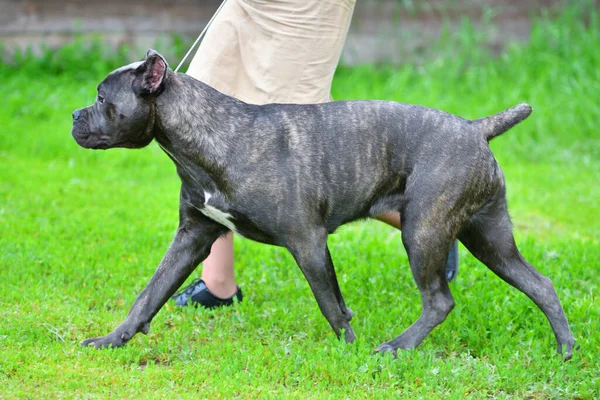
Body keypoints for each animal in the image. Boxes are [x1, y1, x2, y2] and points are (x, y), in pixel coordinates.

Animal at [70, 50, 576, 360]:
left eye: (101, 97)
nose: (74, 115)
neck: (210, 139)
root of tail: (475, 128)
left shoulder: (308, 243)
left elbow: (332, 305)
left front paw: (350, 352)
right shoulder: (193, 236)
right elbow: (148, 295)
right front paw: (112, 340)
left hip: (424, 231)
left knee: (439, 300)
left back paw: (395, 348)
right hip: (488, 238)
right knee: (541, 284)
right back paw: (566, 350)